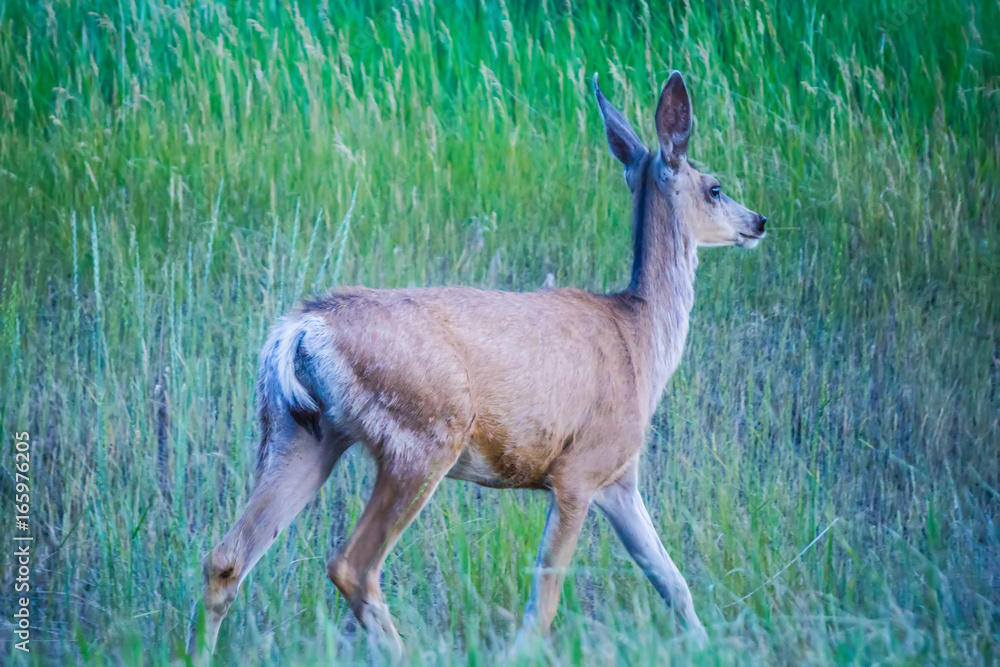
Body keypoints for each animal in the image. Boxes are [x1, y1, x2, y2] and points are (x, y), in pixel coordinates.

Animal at [187, 70, 766, 659]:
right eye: (715, 187)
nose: (759, 221)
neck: (640, 338)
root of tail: (300, 330)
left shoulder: (619, 478)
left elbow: (673, 581)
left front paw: (710, 646)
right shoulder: (577, 470)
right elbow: (544, 604)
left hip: (300, 431)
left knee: (225, 559)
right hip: (423, 436)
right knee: (352, 565)